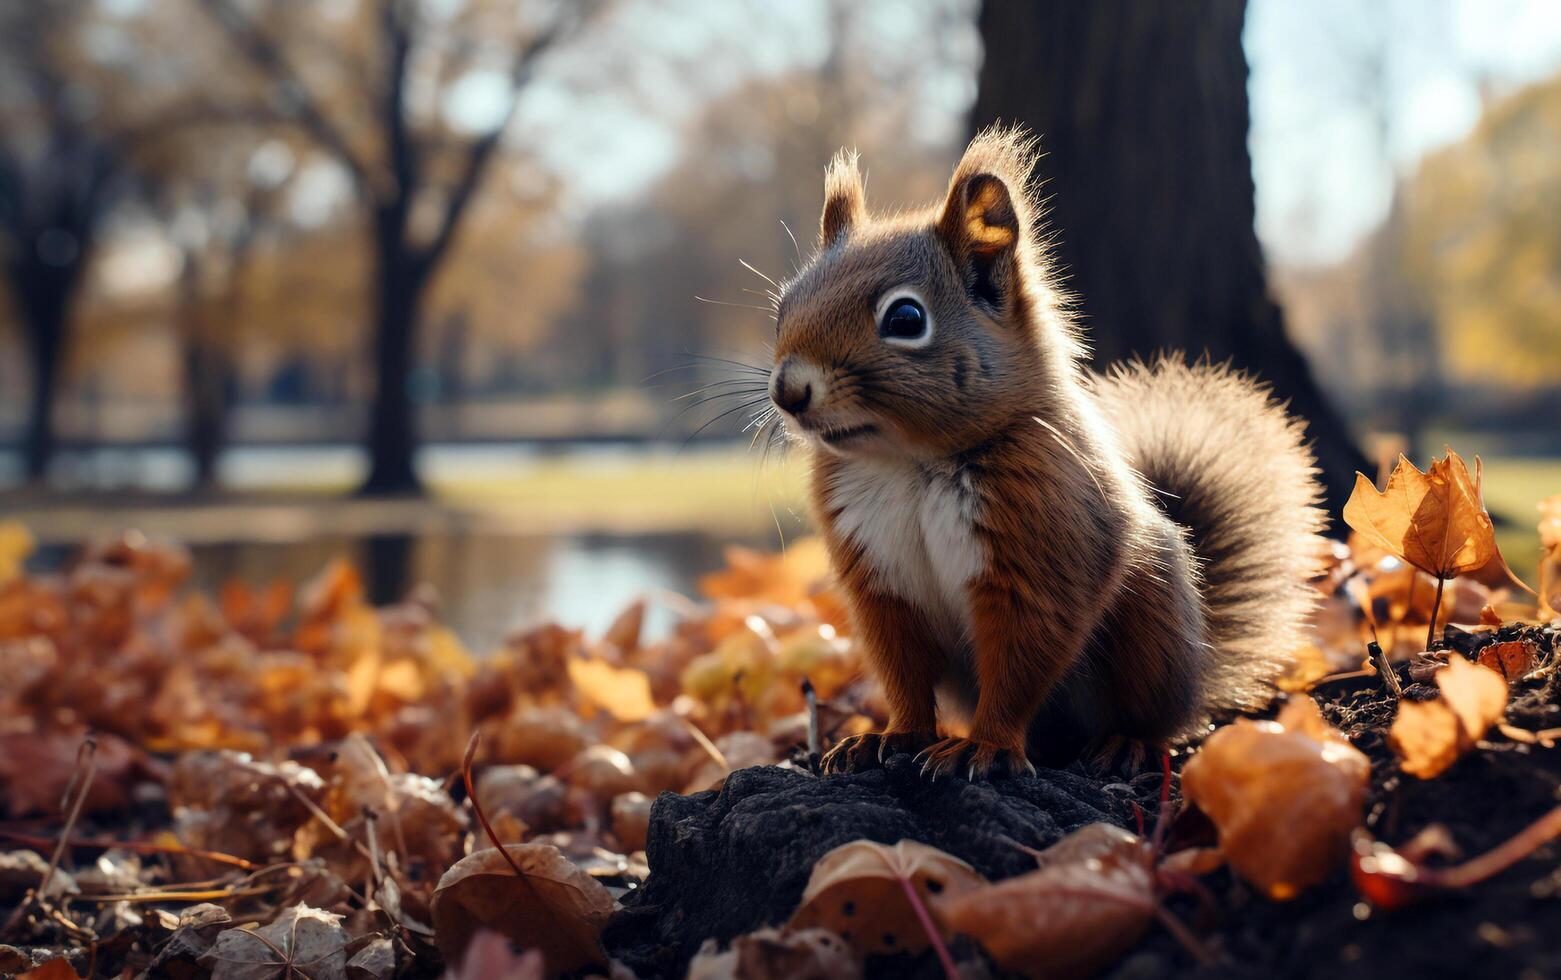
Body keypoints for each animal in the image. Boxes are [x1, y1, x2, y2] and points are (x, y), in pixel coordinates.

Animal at [768, 126, 1329, 777]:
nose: (789, 391)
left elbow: (1021, 660)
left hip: (1151, 624)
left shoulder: (1040, 549)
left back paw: (1126, 743)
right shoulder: (881, 583)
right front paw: (893, 736)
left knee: (1157, 717)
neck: (908, 464)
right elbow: (903, 673)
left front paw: (985, 746)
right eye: (784, 305)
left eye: (905, 317)